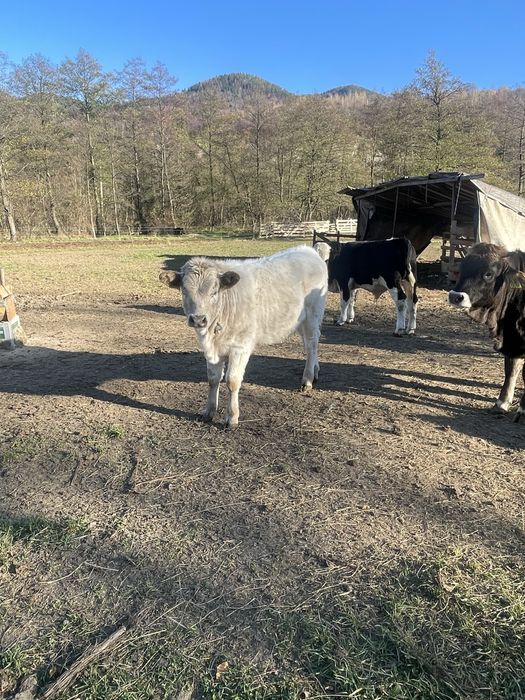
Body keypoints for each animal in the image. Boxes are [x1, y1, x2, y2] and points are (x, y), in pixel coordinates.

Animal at [160, 246, 328, 429]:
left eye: (214, 292)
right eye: (184, 291)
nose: (198, 319)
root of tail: (308, 250)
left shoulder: (240, 347)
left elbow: (232, 381)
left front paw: (232, 418)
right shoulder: (212, 351)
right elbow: (213, 379)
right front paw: (208, 412)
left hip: (313, 315)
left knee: (312, 343)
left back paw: (308, 379)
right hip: (300, 321)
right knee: (309, 345)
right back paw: (316, 370)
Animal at [448, 242, 525, 421]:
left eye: (488, 274)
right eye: (462, 268)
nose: (455, 296)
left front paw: (523, 410)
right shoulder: (511, 340)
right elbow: (511, 369)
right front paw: (501, 404)